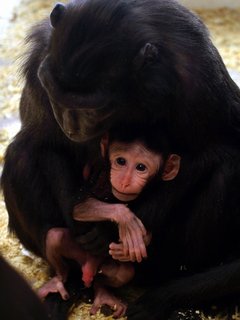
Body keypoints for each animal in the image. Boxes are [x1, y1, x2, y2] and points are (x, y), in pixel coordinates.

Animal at [1, 0, 240, 318]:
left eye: (91, 109)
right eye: (54, 95)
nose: (69, 123)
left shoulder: (199, 77)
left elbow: (215, 149)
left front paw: (107, 230)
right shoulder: (39, 60)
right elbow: (47, 142)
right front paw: (84, 219)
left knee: (226, 171)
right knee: (21, 152)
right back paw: (67, 278)